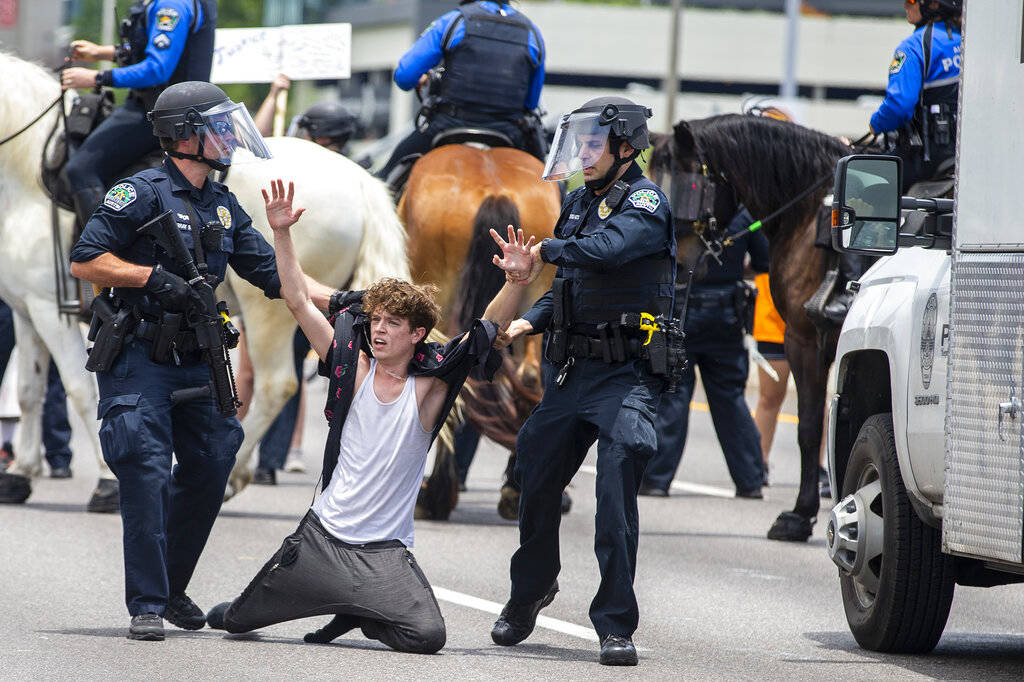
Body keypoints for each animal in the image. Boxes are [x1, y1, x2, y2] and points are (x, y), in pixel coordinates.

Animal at [0, 50, 409, 507]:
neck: (28, 171)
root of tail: (361, 179)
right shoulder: (27, 308)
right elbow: (29, 389)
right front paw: (21, 472)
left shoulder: (48, 310)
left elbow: (78, 389)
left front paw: (107, 480)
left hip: (268, 315)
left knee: (277, 385)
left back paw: (233, 474)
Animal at [651, 114, 851, 540]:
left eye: (690, 186)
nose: (674, 265)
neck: (807, 208)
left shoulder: (803, 339)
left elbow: (810, 427)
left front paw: (800, 515)